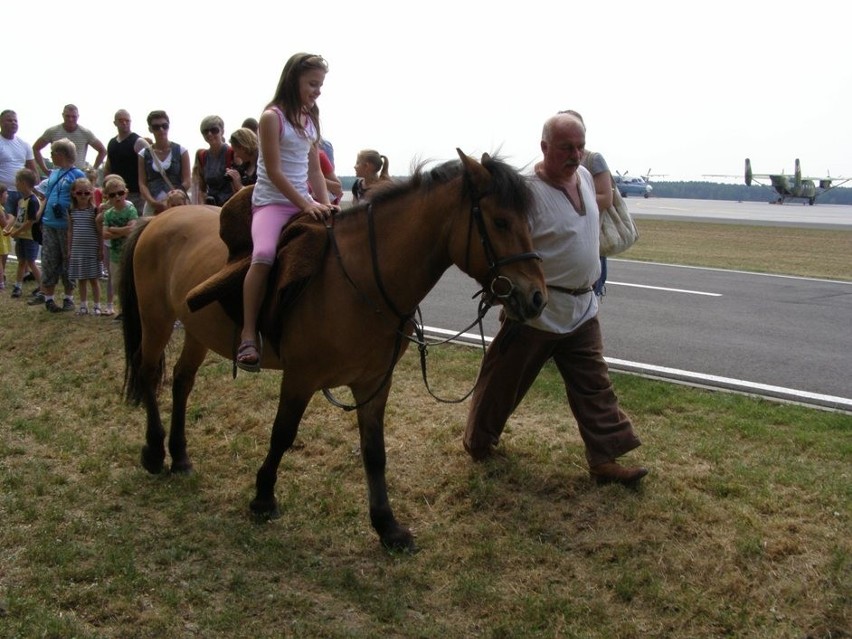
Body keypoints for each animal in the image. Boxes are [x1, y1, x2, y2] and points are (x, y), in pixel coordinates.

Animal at [120, 150, 544, 552]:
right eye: (500, 222)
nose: (536, 297)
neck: (362, 277)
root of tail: (159, 220)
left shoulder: (374, 384)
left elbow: (374, 451)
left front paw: (387, 527)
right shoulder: (300, 378)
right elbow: (282, 434)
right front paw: (263, 498)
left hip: (196, 331)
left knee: (181, 382)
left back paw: (180, 456)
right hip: (157, 321)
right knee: (148, 374)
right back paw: (154, 452)